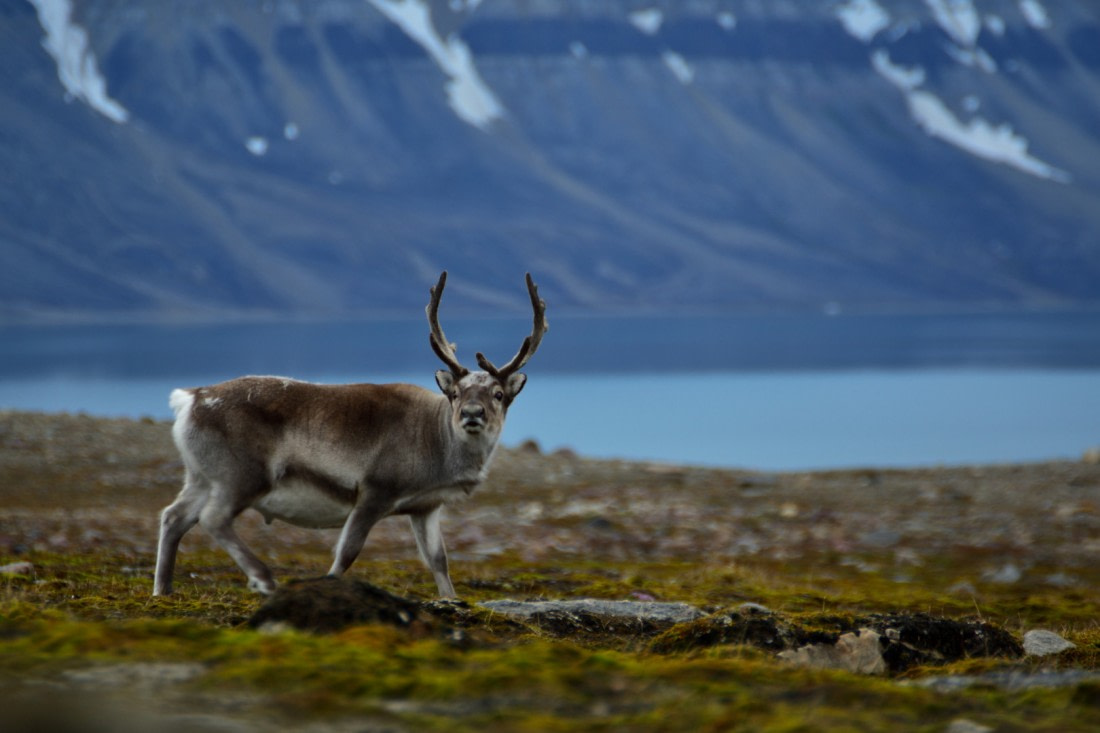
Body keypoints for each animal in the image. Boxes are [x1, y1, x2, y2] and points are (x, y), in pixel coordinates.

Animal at [153, 271, 547, 598]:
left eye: (498, 393)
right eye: (456, 393)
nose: (471, 414)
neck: (437, 442)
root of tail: (191, 398)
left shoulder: (425, 506)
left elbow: (438, 559)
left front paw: (451, 600)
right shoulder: (374, 491)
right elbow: (346, 553)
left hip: (202, 476)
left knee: (173, 517)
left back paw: (163, 590)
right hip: (242, 475)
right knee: (213, 518)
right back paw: (263, 579)